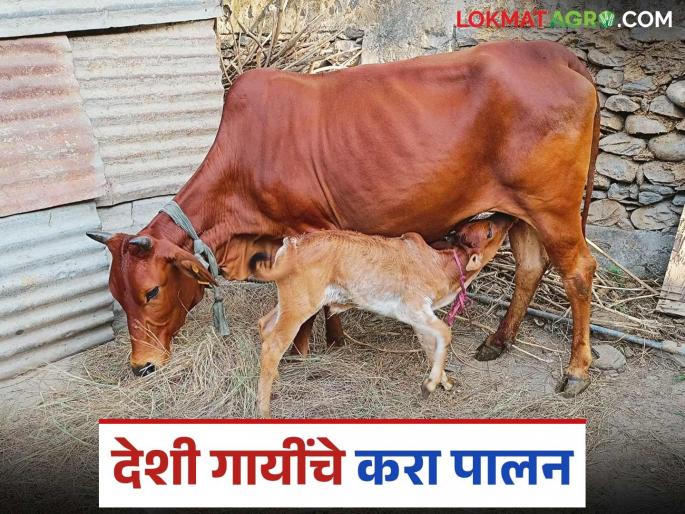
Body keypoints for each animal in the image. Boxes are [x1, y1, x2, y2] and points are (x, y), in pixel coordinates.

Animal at [253, 215, 515, 417]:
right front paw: (429, 386)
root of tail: (291, 244)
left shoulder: (420, 317)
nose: (508, 218)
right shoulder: (413, 307)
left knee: (264, 324)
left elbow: (431, 345)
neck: (439, 265)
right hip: (300, 306)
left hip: (290, 302)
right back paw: (264, 409)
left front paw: (444, 382)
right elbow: (445, 332)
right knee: (273, 345)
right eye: (489, 231)